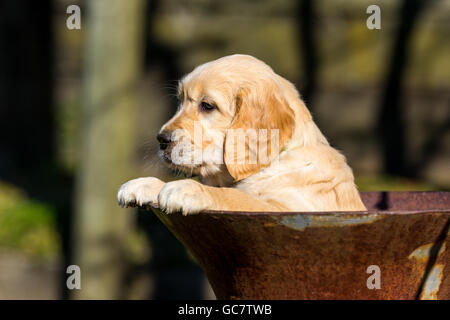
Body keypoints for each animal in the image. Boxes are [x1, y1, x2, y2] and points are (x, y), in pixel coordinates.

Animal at [118, 54, 368, 215]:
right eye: (180, 101)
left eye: (207, 106)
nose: (161, 140)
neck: (274, 161)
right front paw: (146, 184)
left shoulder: (287, 209)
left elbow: (236, 197)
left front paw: (190, 188)